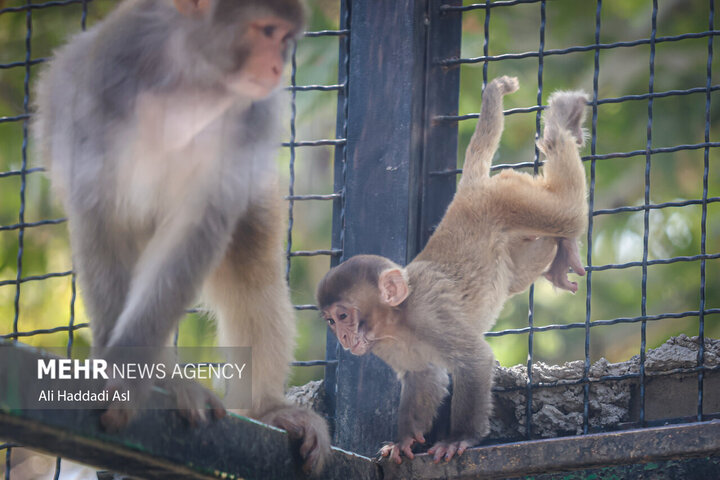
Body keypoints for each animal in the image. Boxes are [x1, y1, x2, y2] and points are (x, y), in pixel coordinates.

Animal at [32, 0, 328, 472]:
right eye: (266, 31)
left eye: (285, 39)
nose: (278, 65)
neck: (192, 81)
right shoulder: (105, 82)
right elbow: (102, 216)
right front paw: (133, 376)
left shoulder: (253, 117)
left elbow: (201, 227)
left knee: (248, 257)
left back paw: (265, 409)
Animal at [318, 77, 588, 464]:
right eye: (330, 321)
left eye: (343, 316)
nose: (342, 336)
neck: (399, 320)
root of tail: (468, 192)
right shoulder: (385, 345)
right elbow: (424, 377)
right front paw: (403, 440)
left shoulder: (431, 315)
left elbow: (474, 360)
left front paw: (459, 438)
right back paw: (562, 248)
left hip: (507, 194)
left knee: (569, 213)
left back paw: (561, 124)